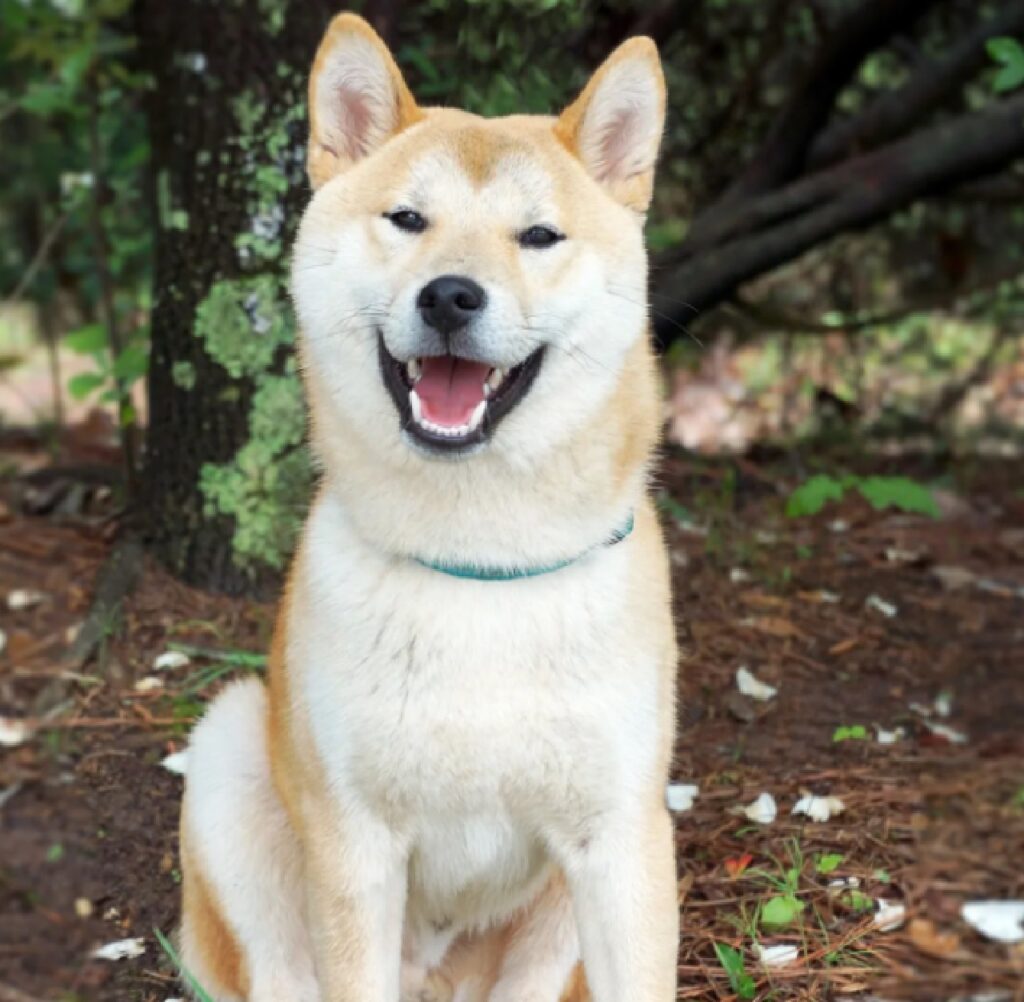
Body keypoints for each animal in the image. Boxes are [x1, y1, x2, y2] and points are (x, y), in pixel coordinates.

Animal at [182, 9, 679, 1002]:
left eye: (539, 235)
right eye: (408, 219)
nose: (451, 294)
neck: (479, 564)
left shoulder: (623, 842)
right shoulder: (356, 846)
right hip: (228, 756)